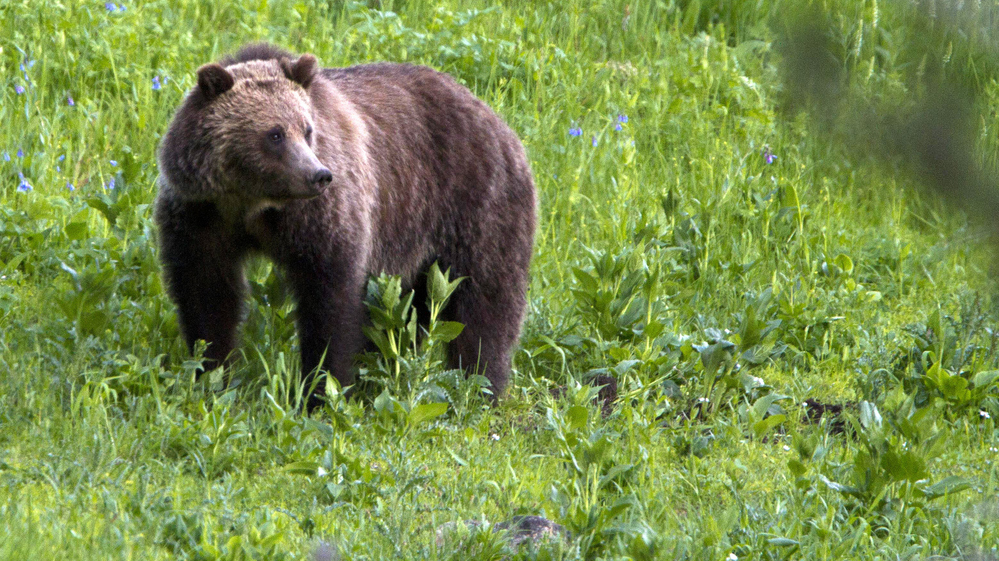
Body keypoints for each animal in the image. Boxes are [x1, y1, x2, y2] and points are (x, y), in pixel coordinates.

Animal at [155, 43, 536, 407]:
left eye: (307, 130)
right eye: (275, 134)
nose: (318, 175)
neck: (252, 203)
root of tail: (495, 116)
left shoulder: (321, 217)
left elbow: (330, 299)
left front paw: (322, 390)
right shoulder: (201, 216)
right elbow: (207, 294)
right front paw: (211, 373)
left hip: (474, 203)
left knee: (485, 300)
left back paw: (481, 386)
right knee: (411, 309)